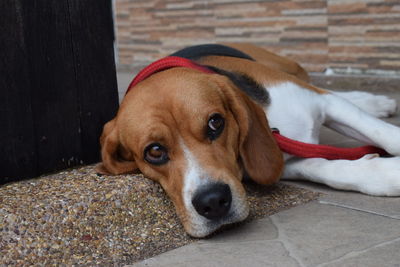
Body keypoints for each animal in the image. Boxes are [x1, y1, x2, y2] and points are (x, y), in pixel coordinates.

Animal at [97, 44, 400, 239]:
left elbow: (382, 133)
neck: (273, 124)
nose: (212, 202)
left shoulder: (323, 102)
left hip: (294, 70)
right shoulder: (279, 161)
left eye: (215, 122)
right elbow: (322, 168)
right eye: (154, 151)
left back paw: (374, 101)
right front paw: (385, 173)